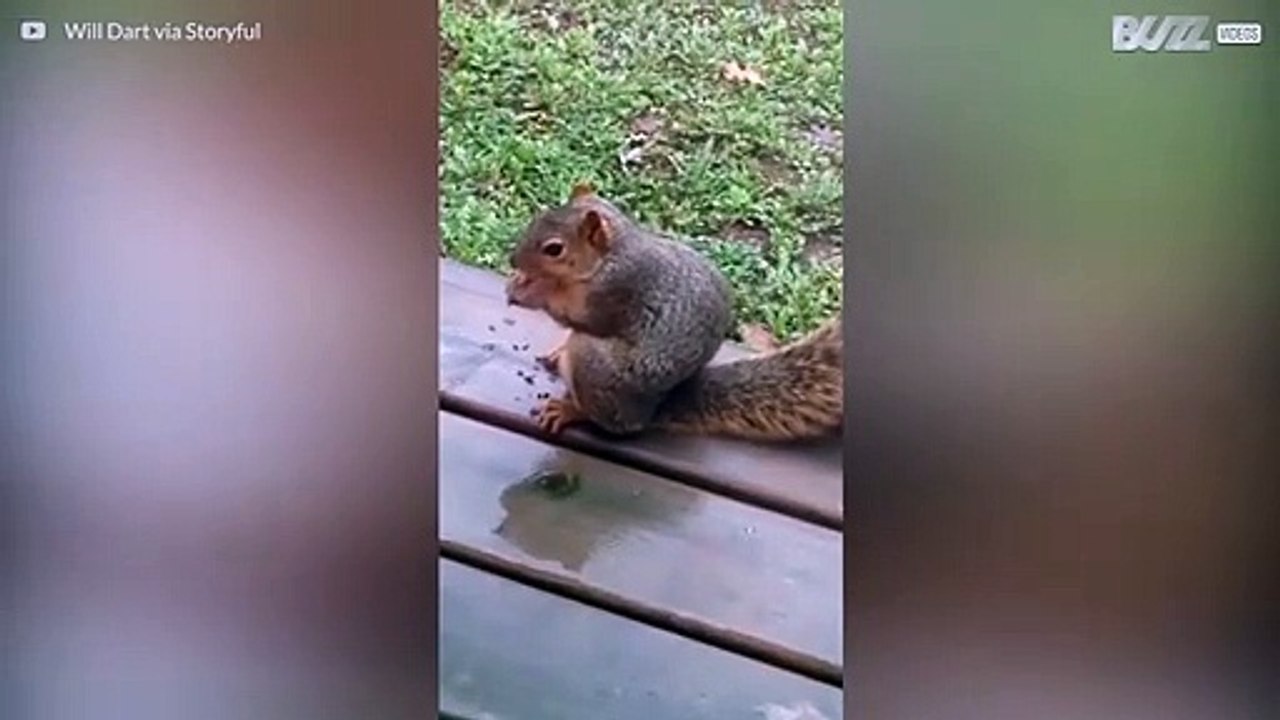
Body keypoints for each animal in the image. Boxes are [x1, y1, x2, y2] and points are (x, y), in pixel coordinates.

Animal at [504, 182, 842, 442]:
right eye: (537, 218)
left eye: (554, 249)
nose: (512, 260)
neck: (610, 254)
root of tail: (652, 409)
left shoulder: (614, 290)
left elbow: (580, 316)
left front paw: (531, 291)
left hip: (595, 367)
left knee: (610, 420)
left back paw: (570, 410)